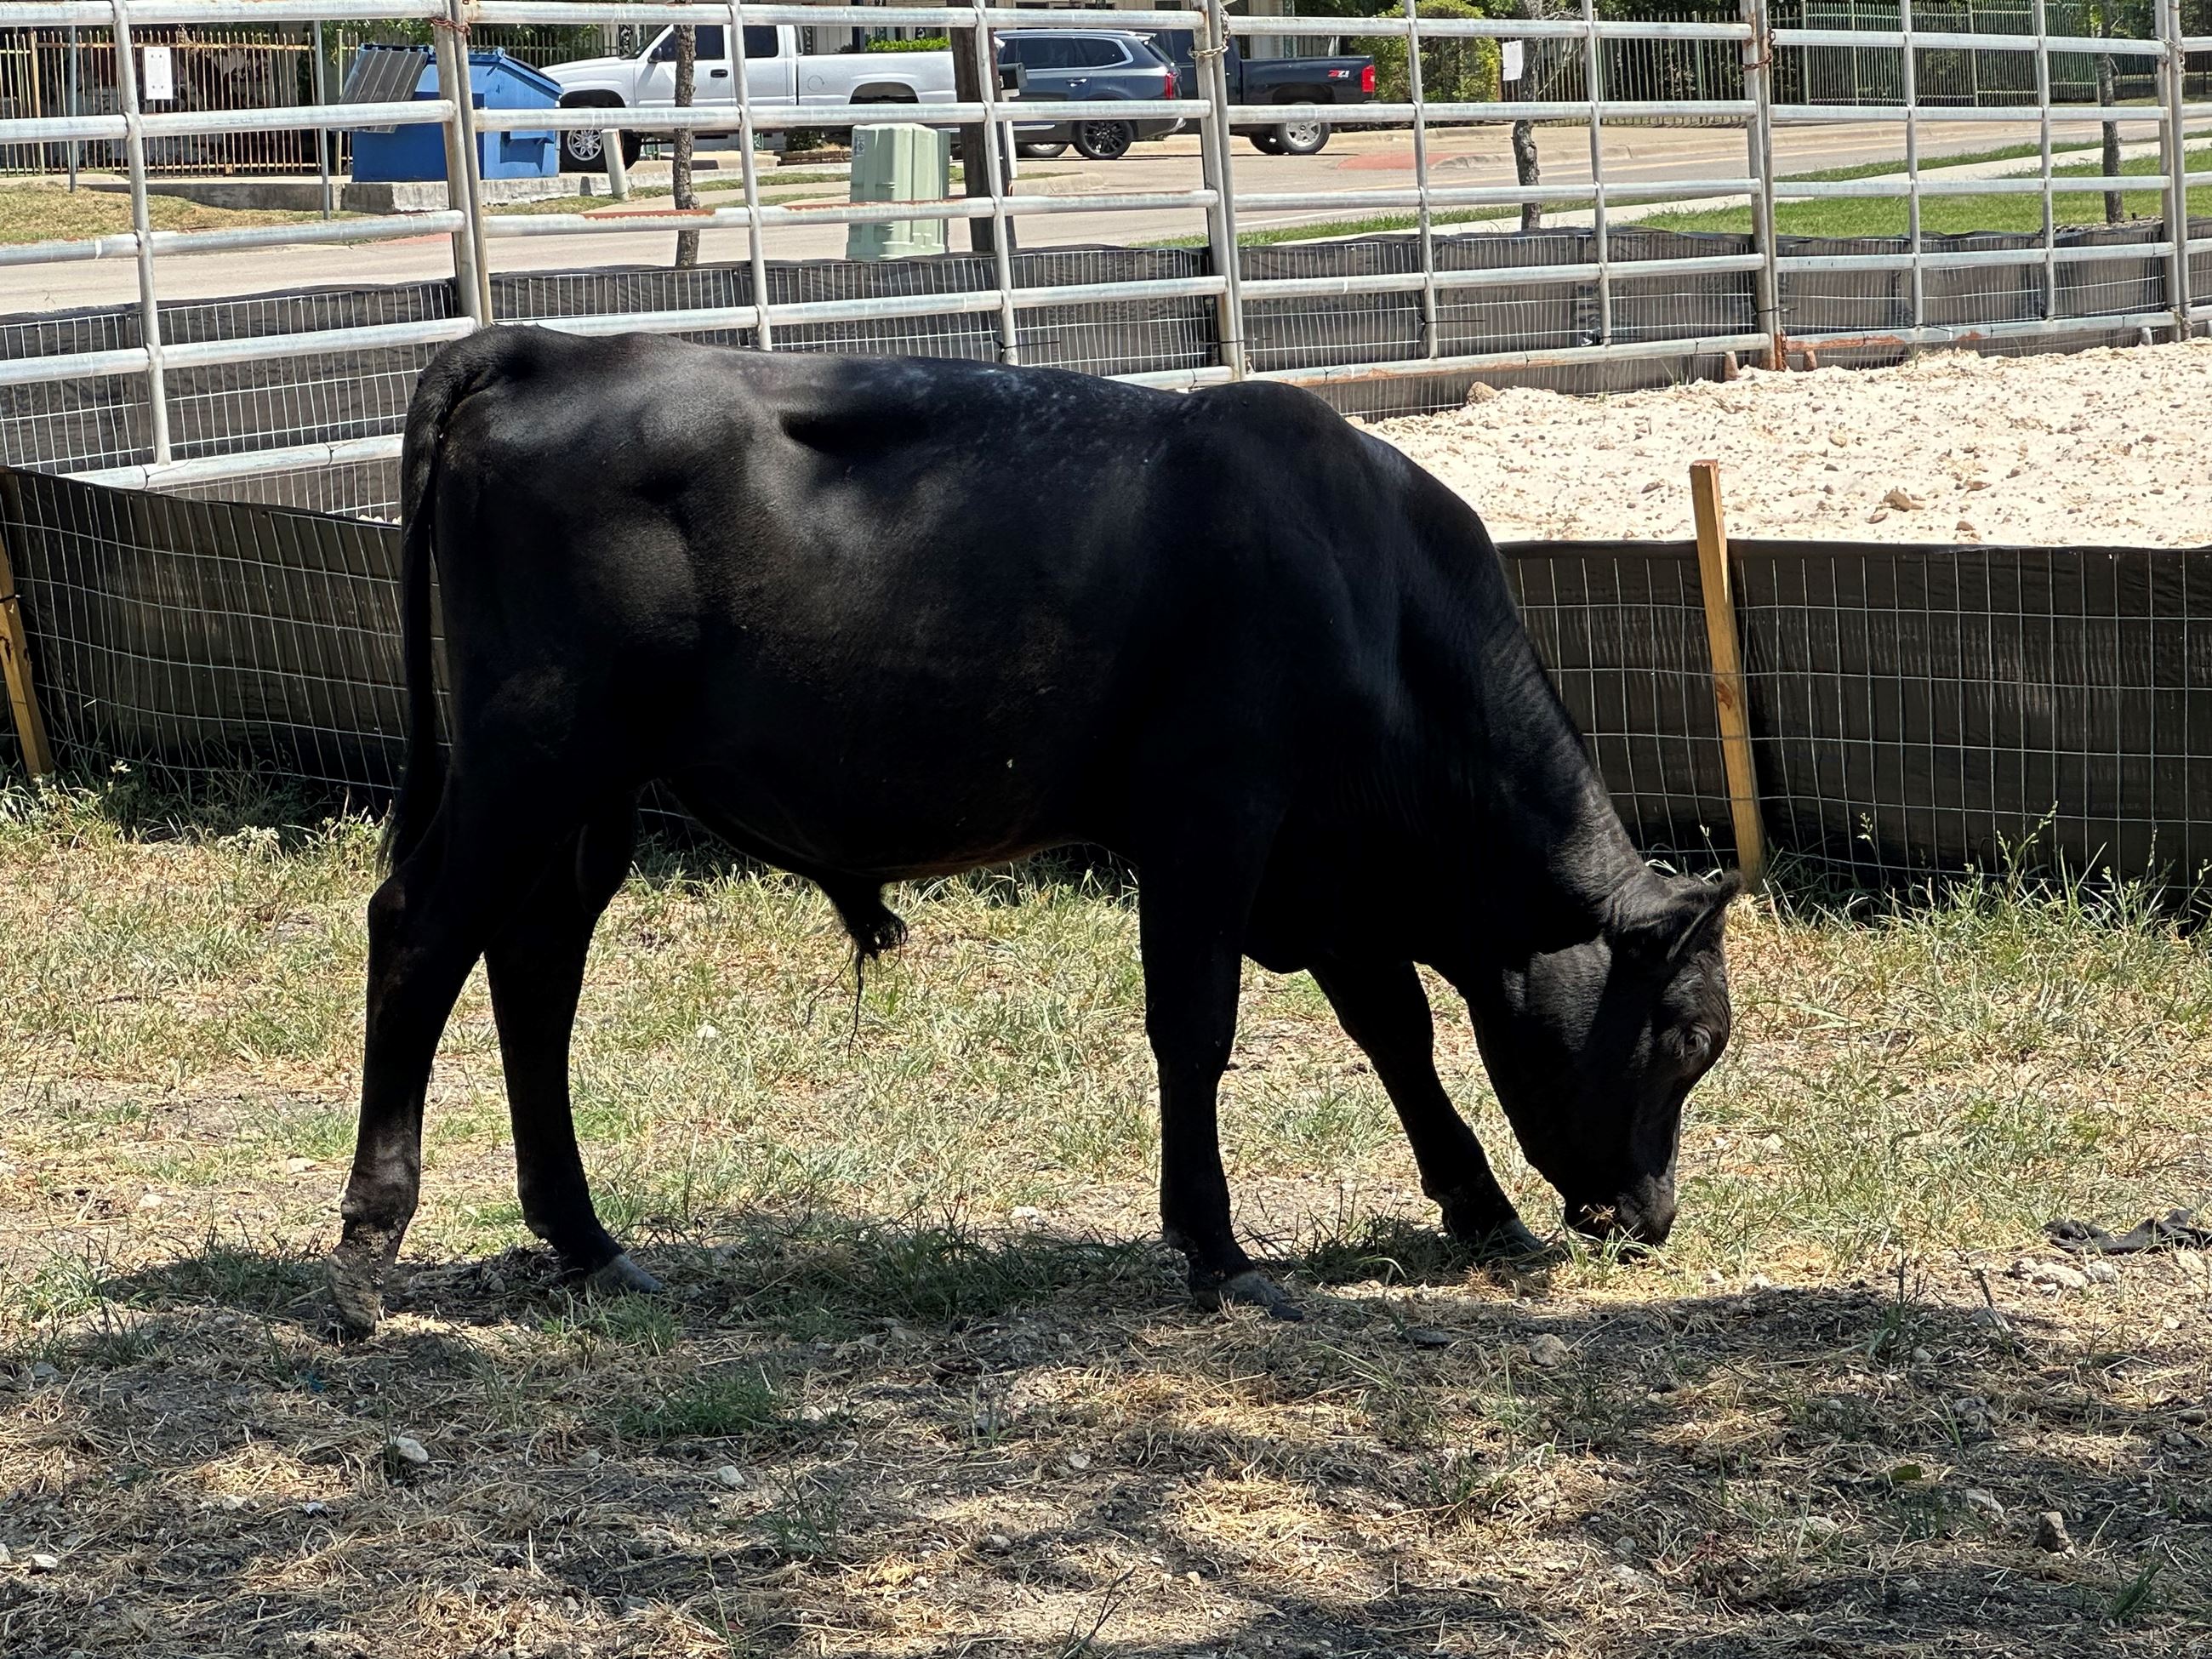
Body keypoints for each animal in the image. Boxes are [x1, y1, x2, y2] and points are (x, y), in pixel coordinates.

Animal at [328, 325, 1738, 1337]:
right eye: (1686, 1038)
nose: (1654, 1217)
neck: (1371, 591)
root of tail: (548, 344)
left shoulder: (1322, 865)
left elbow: (1396, 1030)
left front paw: (1483, 1211)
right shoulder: (1213, 815)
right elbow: (1197, 1029)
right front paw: (1220, 1252)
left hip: (589, 793)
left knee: (533, 965)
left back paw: (586, 1240)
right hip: (533, 747)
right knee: (419, 932)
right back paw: (366, 1253)